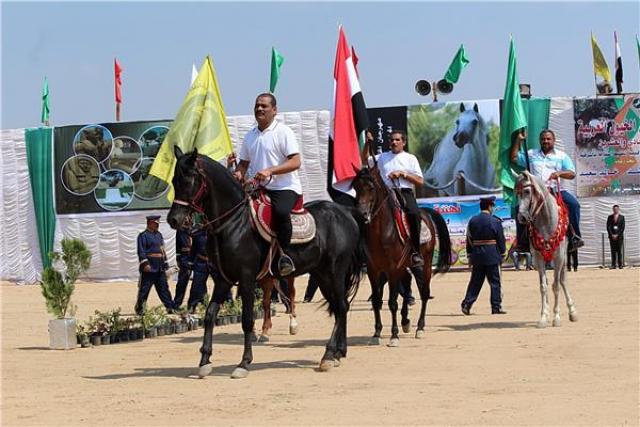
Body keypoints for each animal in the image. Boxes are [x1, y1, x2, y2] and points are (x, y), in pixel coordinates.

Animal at [168, 149, 362, 380]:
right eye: (173, 181)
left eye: (189, 180)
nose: (173, 220)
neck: (233, 223)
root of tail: (345, 213)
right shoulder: (223, 279)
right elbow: (209, 315)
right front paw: (205, 361)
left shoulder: (247, 277)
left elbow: (247, 320)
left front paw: (244, 363)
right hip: (322, 274)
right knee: (341, 307)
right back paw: (339, 353)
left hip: (335, 271)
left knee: (340, 306)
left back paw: (328, 355)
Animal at [352, 167, 452, 348]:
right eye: (355, 187)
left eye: (371, 188)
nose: (362, 214)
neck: (381, 231)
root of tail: (425, 213)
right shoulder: (373, 270)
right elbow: (376, 300)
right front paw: (376, 333)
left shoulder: (392, 269)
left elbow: (392, 302)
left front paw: (394, 336)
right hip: (405, 265)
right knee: (407, 283)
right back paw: (405, 321)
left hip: (425, 264)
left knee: (424, 293)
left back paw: (420, 327)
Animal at [516, 172, 576, 330]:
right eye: (516, 193)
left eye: (527, 191)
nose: (522, 217)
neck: (546, 221)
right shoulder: (538, 258)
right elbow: (543, 286)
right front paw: (543, 317)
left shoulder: (559, 257)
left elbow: (556, 286)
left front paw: (557, 318)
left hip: (564, 258)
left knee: (562, 281)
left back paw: (572, 311)